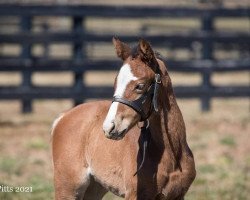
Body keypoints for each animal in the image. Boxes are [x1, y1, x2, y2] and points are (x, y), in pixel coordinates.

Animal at [51, 38, 196, 200]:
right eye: (115, 84)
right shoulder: (134, 194)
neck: (171, 155)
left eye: (140, 86)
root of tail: (64, 116)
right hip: (68, 188)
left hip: (94, 188)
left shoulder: (178, 195)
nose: (109, 127)